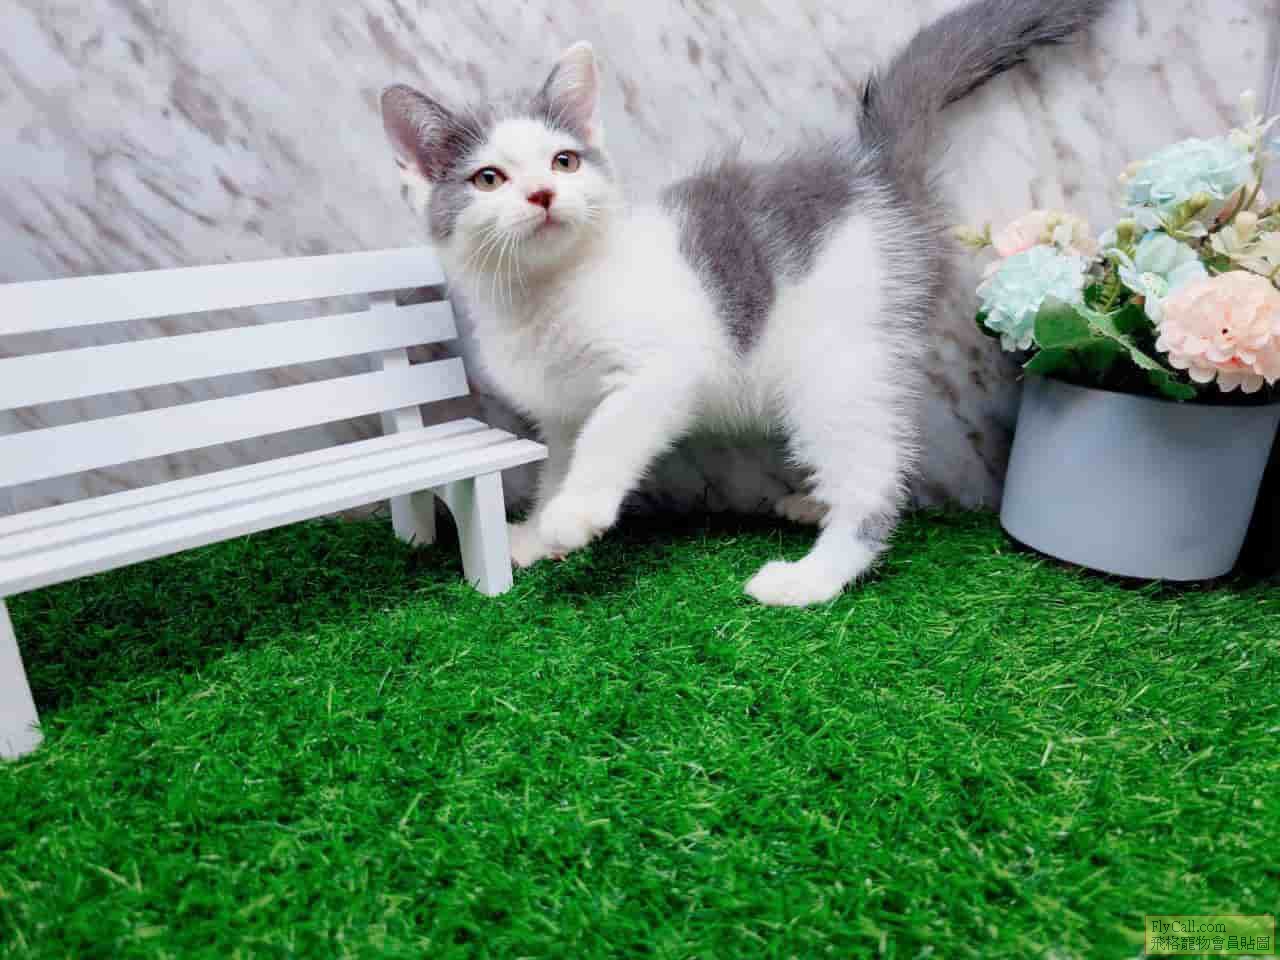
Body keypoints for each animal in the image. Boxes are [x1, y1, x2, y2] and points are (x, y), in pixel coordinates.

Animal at [380, 0, 1112, 606]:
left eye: (565, 161)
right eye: (488, 178)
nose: (541, 194)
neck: (547, 291)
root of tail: (874, 173)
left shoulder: (664, 369)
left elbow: (609, 436)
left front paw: (574, 516)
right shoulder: (561, 410)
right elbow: (562, 457)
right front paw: (533, 530)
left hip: (832, 359)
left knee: (874, 475)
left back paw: (813, 576)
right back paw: (816, 505)